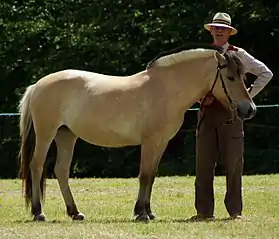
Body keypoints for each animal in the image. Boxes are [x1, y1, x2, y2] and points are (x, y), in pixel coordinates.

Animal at [18, 43, 258, 222]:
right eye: (230, 77)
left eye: (244, 76)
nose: (250, 110)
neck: (166, 89)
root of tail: (37, 85)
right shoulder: (150, 141)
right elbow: (144, 175)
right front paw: (141, 213)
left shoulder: (161, 142)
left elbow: (151, 175)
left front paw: (148, 212)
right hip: (47, 134)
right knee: (37, 166)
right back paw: (39, 213)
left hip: (66, 135)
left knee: (61, 170)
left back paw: (75, 212)